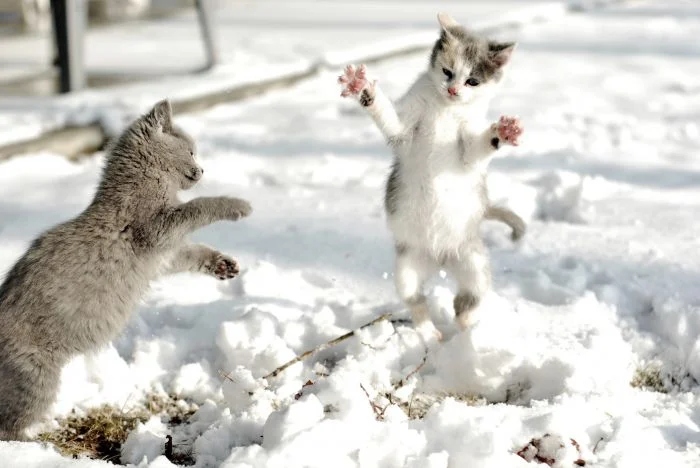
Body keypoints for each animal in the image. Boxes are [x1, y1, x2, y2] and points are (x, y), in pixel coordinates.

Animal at [0, 99, 252, 442]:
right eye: (191, 151)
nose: (202, 170)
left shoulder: (166, 254)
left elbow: (194, 251)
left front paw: (223, 264)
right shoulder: (157, 229)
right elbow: (198, 206)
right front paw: (237, 204)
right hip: (34, 377)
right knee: (8, 426)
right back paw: (34, 445)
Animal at [340, 12, 524, 342]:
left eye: (472, 80)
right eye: (447, 71)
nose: (452, 90)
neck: (446, 109)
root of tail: (439, 258)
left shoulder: (468, 149)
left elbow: (476, 151)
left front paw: (502, 133)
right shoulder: (405, 127)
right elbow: (390, 122)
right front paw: (362, 87)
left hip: (474, 262)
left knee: (467, 300)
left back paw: (467, 332)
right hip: (407, 267)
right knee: (417, 300)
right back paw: (430, 334)